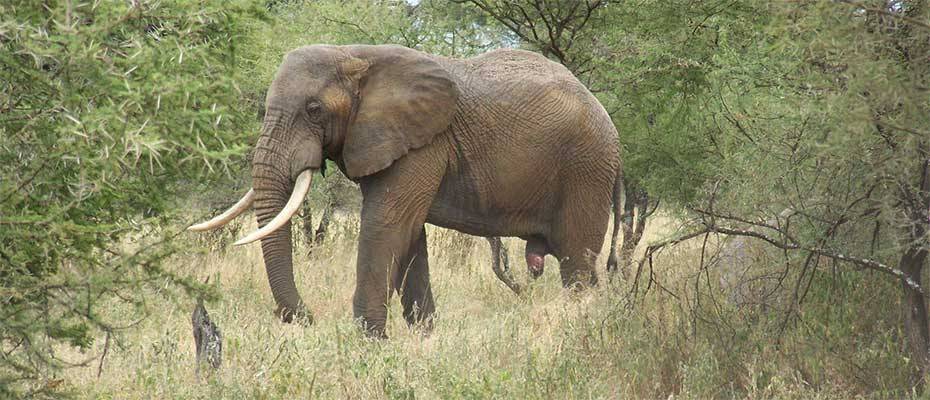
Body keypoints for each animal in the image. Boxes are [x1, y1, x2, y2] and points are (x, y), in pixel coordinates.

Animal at [188, 44, 624, 338]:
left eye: (314, 110)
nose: (305, 318)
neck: (357, 56)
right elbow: (409, 232)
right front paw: (422, 336)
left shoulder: (423, 141)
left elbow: (387, 223)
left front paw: (369, 341)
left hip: (586, 168)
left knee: (577, 263)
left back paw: (580, 325)